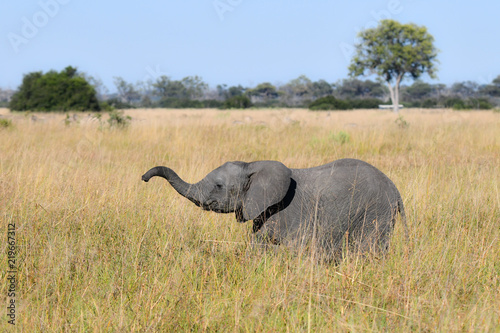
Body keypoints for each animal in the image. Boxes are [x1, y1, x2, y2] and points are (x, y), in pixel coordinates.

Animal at [143, 158, 408, 260]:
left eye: (219, 186)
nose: (144, 178)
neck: (252, 165)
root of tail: (395, 189)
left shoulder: (290, 211)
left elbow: (295, 246)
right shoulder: (264, 211)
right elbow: (257, 243)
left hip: (375, 211)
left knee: (368, 248)